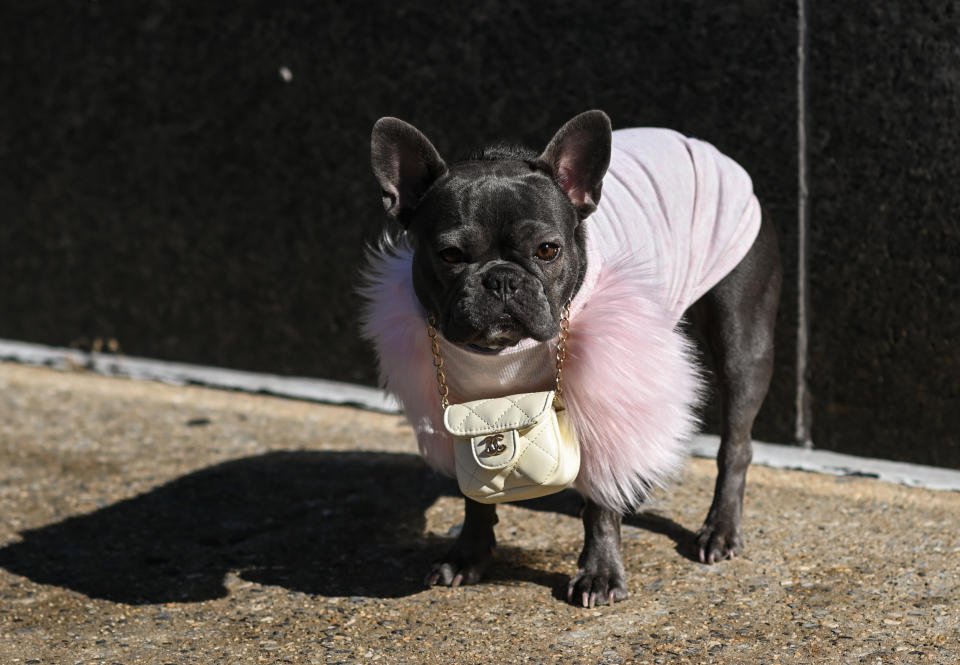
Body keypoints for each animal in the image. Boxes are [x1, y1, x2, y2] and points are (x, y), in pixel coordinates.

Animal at [368, 110, 780, 608]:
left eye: (548, 250)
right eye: (450, 255)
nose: (501, 279)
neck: (511, 353)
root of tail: (701, 144)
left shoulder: (602, 393)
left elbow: (600, 502)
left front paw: (599, 571)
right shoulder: (470, 405)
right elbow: (478, 489)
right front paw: (468, 555)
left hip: (742, 340)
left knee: (735, 444)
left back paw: (719, 528)